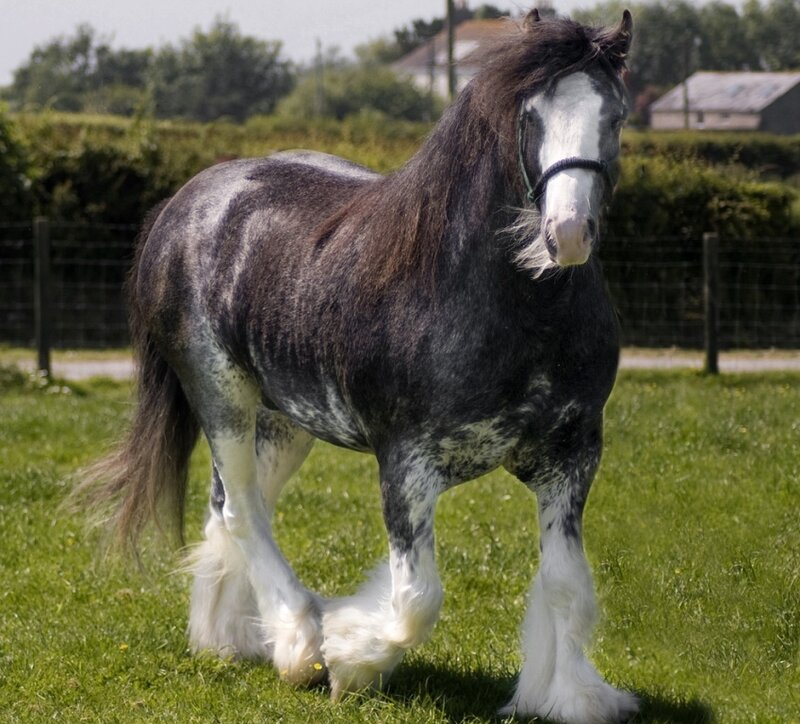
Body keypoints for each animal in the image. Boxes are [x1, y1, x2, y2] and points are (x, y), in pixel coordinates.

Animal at [82, 10, 637, 723]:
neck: (508, 306)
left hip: (281, 423)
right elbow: (416, 600)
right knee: (242, 513)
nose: (565, 233)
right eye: (530, 114)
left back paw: (230, 639)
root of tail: (187, 203)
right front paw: (350, 660)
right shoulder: (405, 466)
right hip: (222, 402)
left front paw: (571, 697)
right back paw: (297, 645)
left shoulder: (571, 458)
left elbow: (566, 584)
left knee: (231, 506)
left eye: (616, 115)